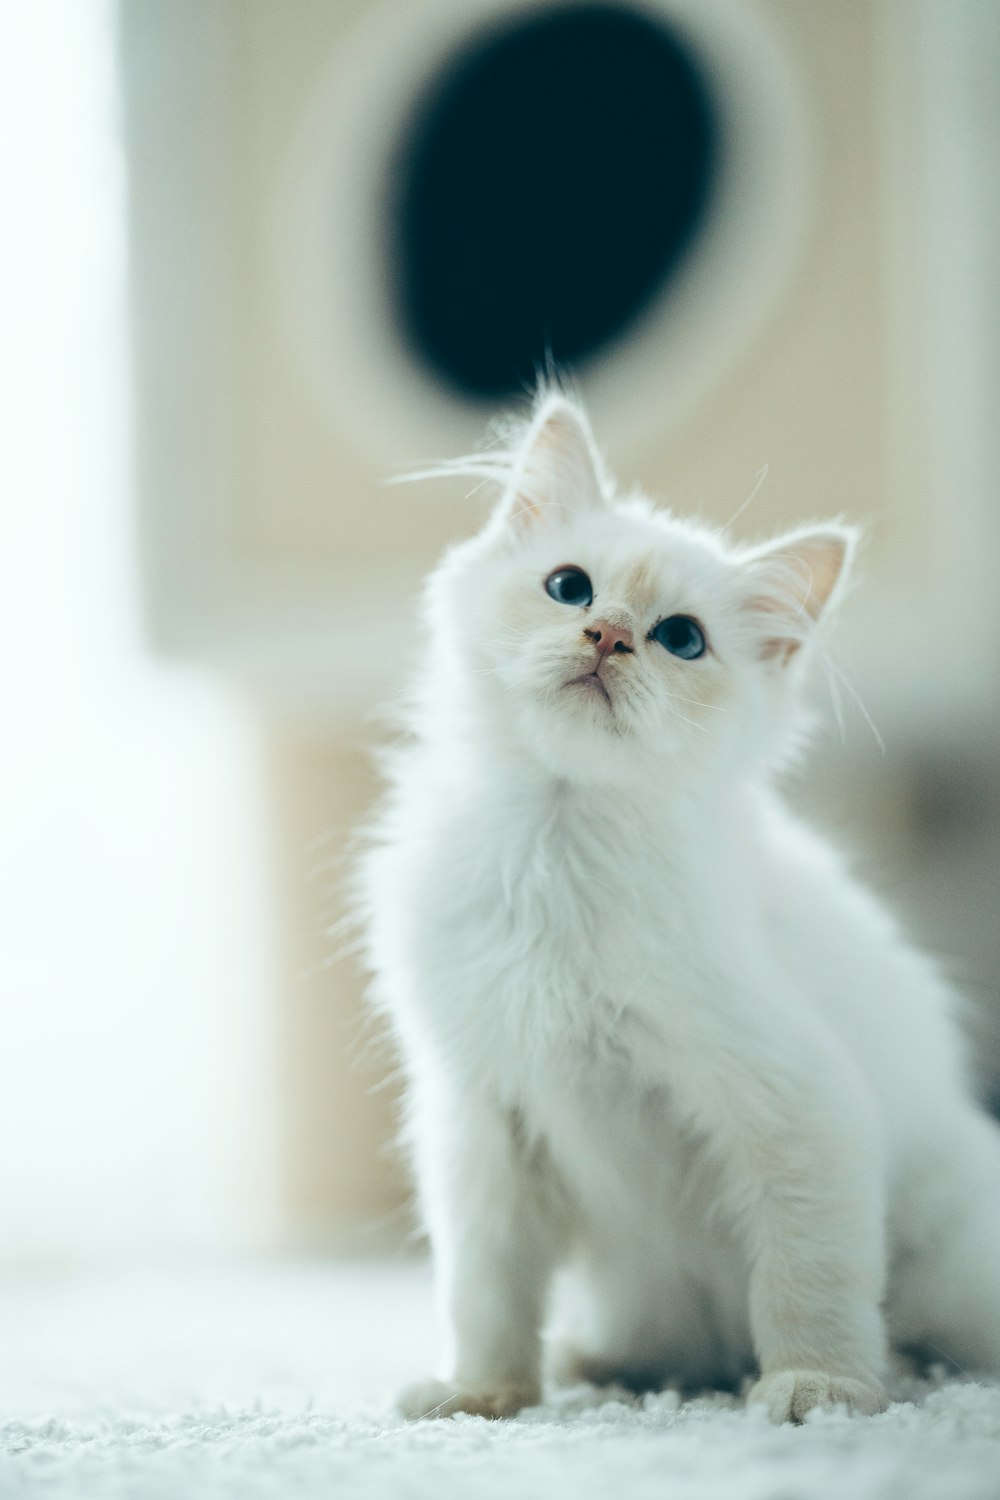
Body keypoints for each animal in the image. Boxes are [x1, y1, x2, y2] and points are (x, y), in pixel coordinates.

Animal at [359, 387, 1000, 1416]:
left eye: (681, 640)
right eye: (569, 587)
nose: (608, 636)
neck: (555, 847)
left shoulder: (801, 1104)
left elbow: (805, 1280)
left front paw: (814, 1388)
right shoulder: (480, 1117)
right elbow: (488, 1290)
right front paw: (485, 1396)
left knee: (933, 1334)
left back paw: (895, 1374)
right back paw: (605, 1370)